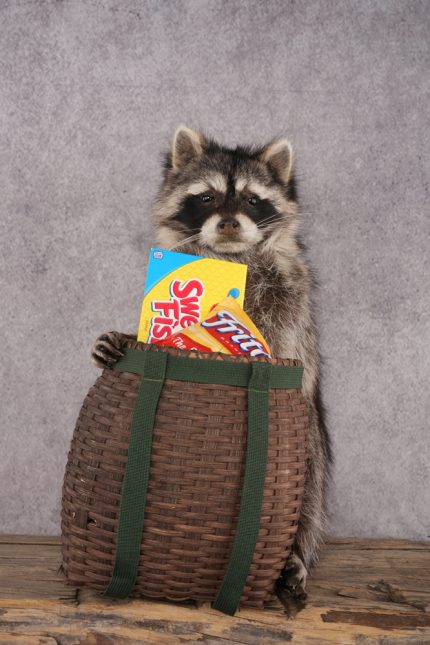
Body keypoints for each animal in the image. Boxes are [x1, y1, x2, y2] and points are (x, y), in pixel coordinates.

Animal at [92, 126, 332, 604]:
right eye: (207, 198)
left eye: (253, 201)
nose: (228, 222)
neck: (229, 258)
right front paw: (131, 336)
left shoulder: (287, 299)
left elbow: (281, 346)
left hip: (310, 442)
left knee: (309, 489)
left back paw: (296, 553)